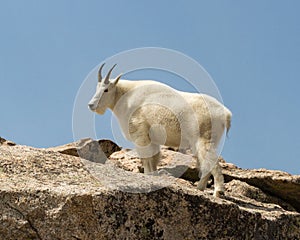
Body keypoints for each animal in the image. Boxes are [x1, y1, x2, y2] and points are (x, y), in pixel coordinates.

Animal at [87, 63, 232, 197]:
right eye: (97, 88)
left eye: (106, 90)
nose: (91, 105)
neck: (125, 96)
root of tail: (225, 114)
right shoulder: (152, 139)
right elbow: (154, 158)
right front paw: (153, 175)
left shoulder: (140, 134)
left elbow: (146, 158)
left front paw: (147, 176)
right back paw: (200, 188)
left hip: (204, 138)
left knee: (212, 162)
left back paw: (218, 192)